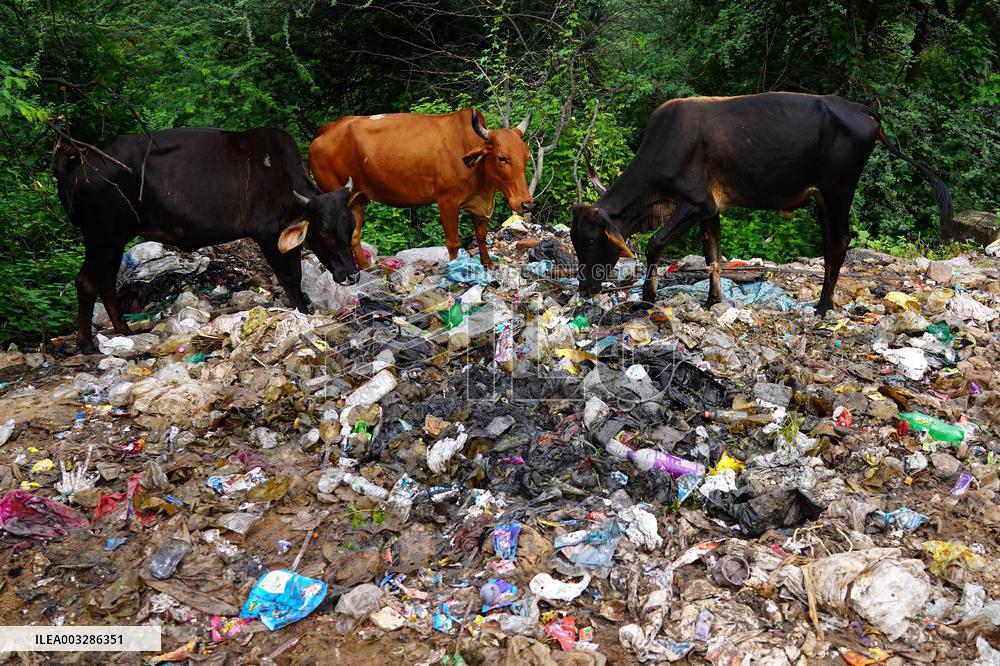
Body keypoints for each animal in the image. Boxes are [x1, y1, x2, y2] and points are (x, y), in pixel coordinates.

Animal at [53, 127, 360, 354]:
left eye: (351, 226)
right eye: (324, 232)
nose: (351, 274)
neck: (282, 180)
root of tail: (77, 164)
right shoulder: (268, 235)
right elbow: (290, 277)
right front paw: (302, 314)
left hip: (113, 241)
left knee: (105, 282)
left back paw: (123, 331)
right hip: (101, 237)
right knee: (87, 281)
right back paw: (86, 344)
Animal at [308, 108, 535, 270]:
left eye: (525, 157)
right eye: (502, 158)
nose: (526, 203)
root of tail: (325, 130)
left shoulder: (480, 204)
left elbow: (481, 236)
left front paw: (487, 264)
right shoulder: (447, 201)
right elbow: (453, 242)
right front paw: (455, 271)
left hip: (358, 199)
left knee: (354, 235)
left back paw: (364, 267)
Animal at [571, 93, 953, 313]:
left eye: (589, 240)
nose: (585, 287)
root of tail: (859, 108)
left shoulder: (694, 202)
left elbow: (655, 244)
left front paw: (648, 297)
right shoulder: (710, 209)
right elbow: (712, 253)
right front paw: (713, 300)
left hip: (839, 190)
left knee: (840, 240)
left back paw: (824, 305)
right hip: (822, 197)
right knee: (831, 243)